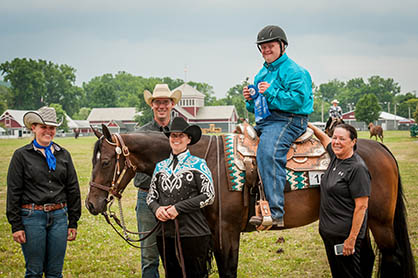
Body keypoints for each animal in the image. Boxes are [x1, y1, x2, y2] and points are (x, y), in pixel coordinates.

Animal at [85, 125, 414, 278]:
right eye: (93, 160)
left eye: (106, 162)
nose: (91, 203)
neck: (207, 161)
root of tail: (381, 150)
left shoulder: (226, 232)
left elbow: (228, 269)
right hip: (362, 222)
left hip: (380, 222)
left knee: (393, 256)